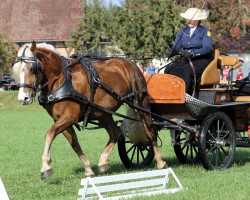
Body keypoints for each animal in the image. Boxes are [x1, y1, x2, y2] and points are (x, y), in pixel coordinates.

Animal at [12, 41, 167, 179]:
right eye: (17, 71)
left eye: (32, 68)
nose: (23, 98)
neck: (62, 79)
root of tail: (131, 63)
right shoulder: (60, 119)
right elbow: (73, 142)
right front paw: (88, 169)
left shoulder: (70, 116)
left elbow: (50, 134)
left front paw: (45, 167)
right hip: (103, 113)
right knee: (115, 132)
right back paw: (103, 162)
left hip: (141, 104)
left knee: (150, 130)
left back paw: (160, 161)